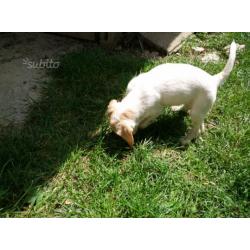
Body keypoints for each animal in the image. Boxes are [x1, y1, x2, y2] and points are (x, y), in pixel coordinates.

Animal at [107, 41, 236, 146]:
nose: (114, 139)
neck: (137, 95)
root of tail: (213, 79)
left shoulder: (156, 110)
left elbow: (145, 122)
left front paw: (141, 126)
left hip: (197, 110)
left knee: (195, 127)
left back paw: (186, 140)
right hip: (196, 106)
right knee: (198, 121)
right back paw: (180, 111)